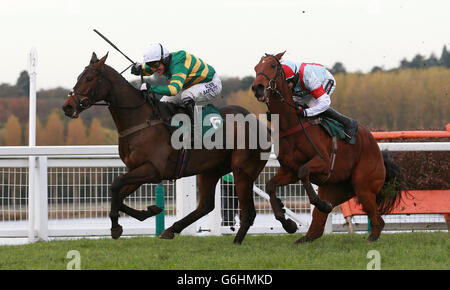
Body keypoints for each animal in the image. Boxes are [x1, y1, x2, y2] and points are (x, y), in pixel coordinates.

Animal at [61, 52, 268, 245]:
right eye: (79, 76)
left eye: (89, 78)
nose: (67, 106)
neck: (141, 121)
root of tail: (260, 124)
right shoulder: (137, 169)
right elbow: (118, 194)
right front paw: (150, 210)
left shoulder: (153, 170)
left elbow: (115, 185)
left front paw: (116, 226)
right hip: (211, 170)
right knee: (206, 205)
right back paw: (171, 229)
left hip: (242, 171)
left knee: (248, 212)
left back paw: (236, 241)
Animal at [250, 51, 404, 242]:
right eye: (256, 67)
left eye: (272, 65)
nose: (258, 87)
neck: (292, 124)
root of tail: (377, 149)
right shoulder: (289, 170)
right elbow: (271, 185)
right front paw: (288, 223)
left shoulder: (323, 162)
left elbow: (304, 172)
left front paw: (322, 204)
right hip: (336, 188)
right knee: (318, 225)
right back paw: (304, 239)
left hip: (364, 188)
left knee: (378, 220)